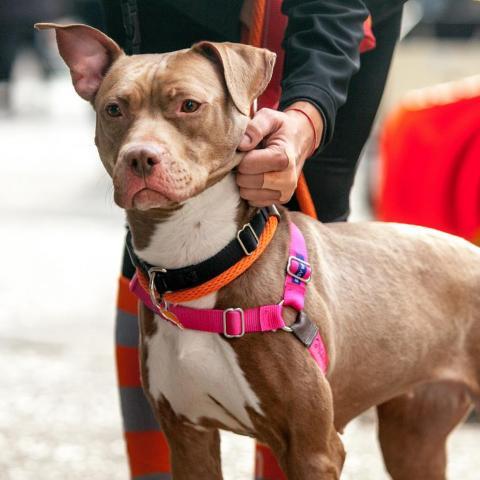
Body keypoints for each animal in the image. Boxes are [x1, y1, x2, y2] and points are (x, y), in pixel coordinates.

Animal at [38, 22, 480, 480]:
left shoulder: (313, 449)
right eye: (113, 109)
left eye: (189, 105)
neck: (199, 266)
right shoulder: (188, 438)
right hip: (412, 437)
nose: (140, 157)